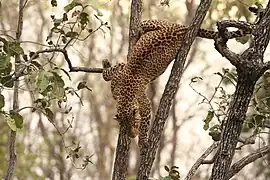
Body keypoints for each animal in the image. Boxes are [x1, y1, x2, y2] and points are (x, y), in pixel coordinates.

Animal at [102, 19, 251, 153]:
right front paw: (106, 65)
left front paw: (143, 144)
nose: (132, 135)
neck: (124, 96)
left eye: (135, 123)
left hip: (149, 23)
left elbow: (145, 122)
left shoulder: (144, 104)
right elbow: (108, 74)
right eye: (124, 128)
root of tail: (180, 28)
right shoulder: (121, 72)